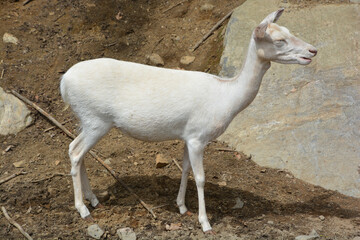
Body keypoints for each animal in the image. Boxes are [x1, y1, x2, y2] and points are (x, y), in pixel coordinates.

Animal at [59, 8, 318, 232]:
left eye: (289, 29)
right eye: (279, 40)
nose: (313, 50)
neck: (226, 97)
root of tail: (63, 82)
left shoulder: (187, 135)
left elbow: (184, 169)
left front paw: (183, 207)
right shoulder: (198, 137)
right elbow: (201, 178)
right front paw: (205, 223)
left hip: (86, 121)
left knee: (77, 150)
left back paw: (93, 200)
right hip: (96, 120)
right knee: (75, 151)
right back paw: (82, 209)